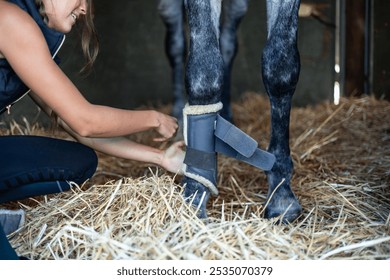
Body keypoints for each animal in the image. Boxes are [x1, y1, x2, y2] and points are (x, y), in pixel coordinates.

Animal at [157, 0, 304, 223]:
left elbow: (280, 68)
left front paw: (281, 195)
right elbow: (205, 71)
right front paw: (195, 196)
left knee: (228, 39)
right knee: (175, 39)